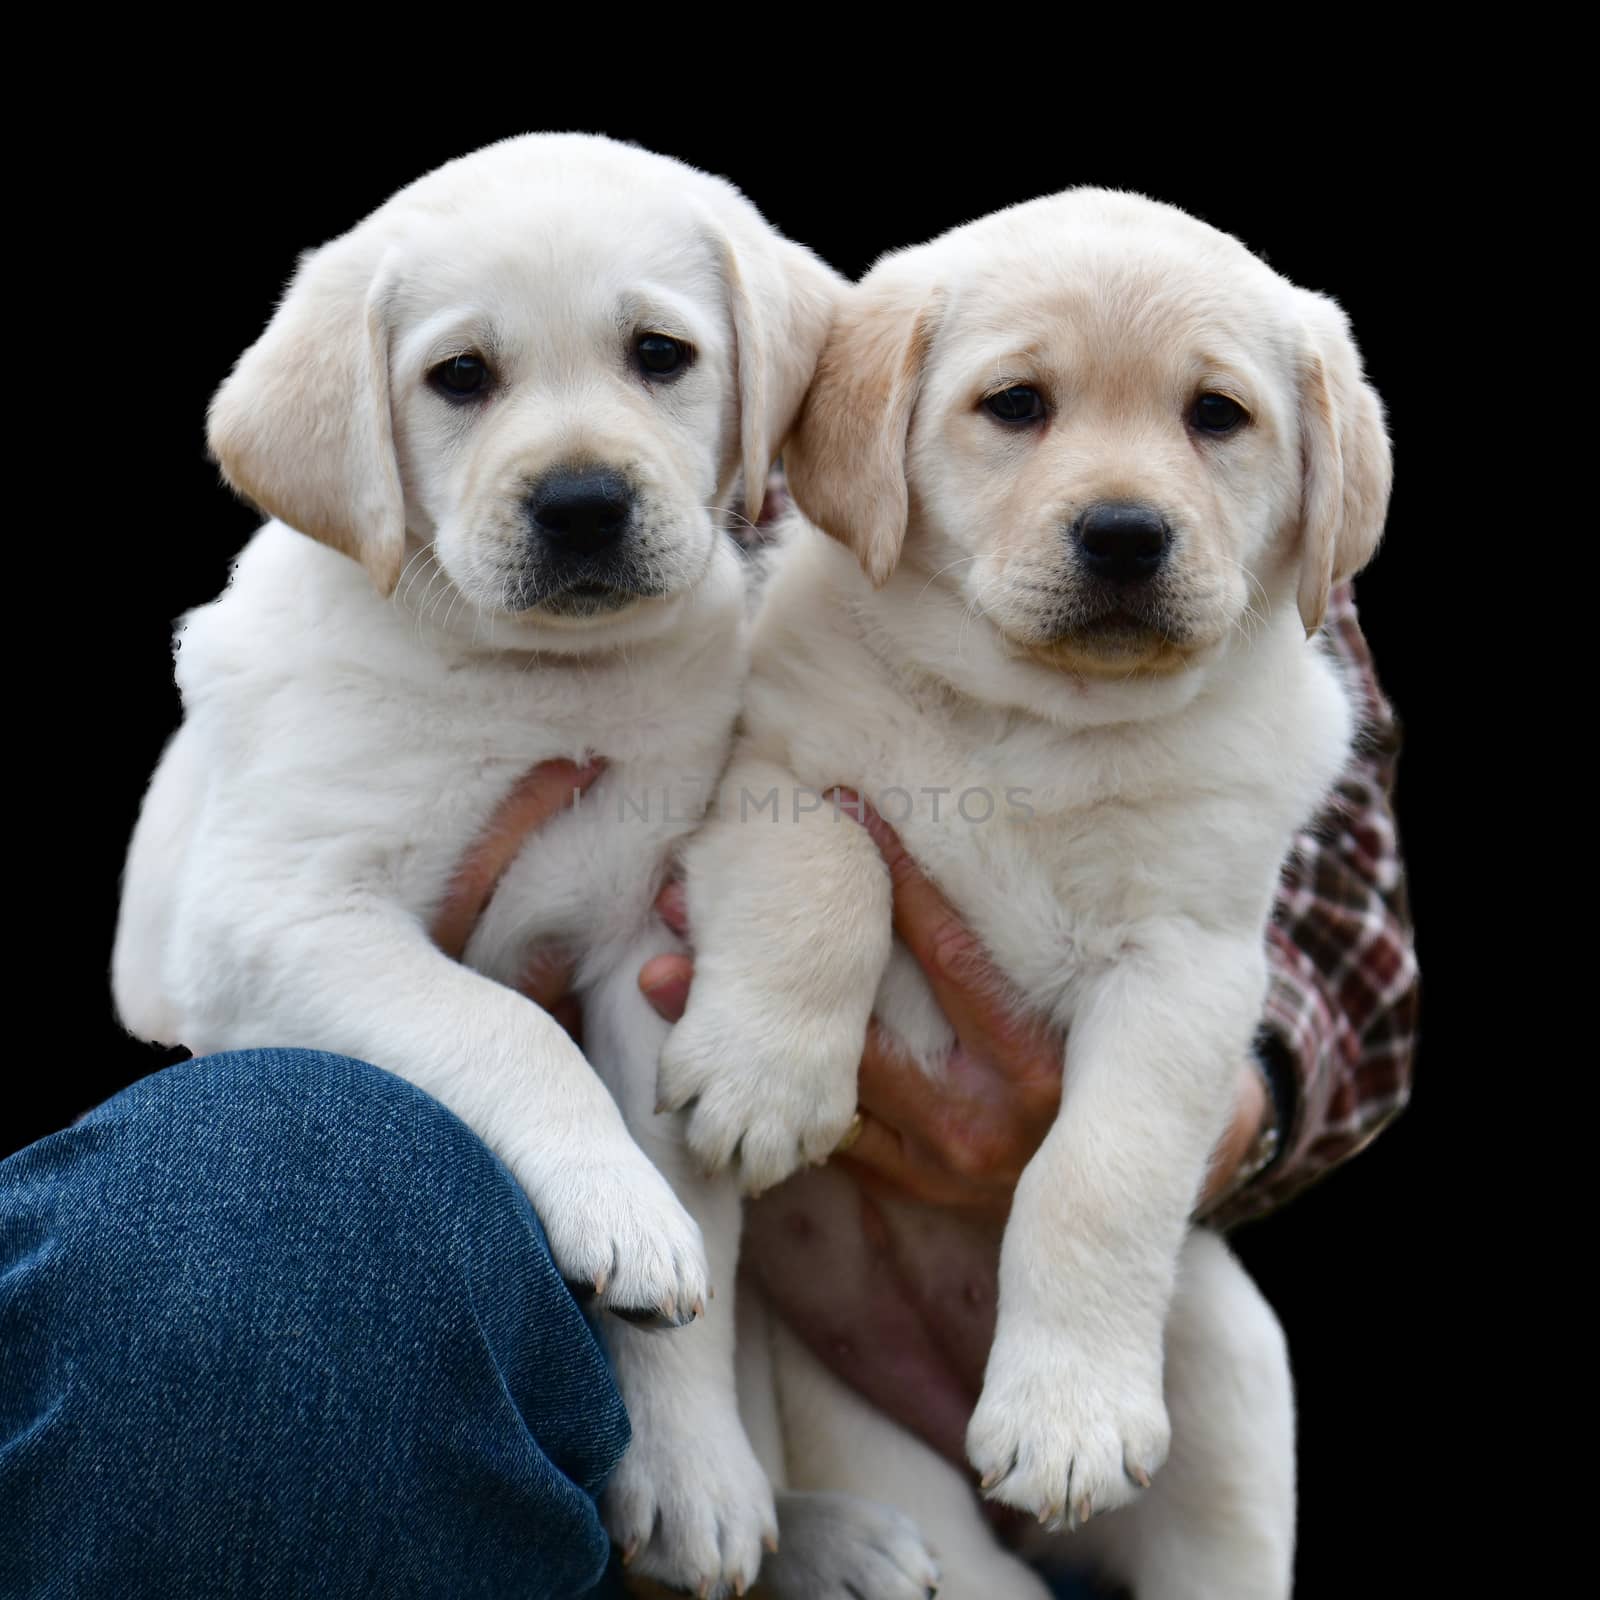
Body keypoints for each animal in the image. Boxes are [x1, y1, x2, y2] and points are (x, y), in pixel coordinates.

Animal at [662, 190, 1388, 1600]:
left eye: (1215, 414)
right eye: (1014, 405)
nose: (1124, 533)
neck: (1043, 725)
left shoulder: (1188, 963)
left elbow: (1098, 1172)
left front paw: (1067, 1417)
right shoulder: (763, 780)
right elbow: (829, 873)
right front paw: (764, 1080)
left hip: (1224, 1367)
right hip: (868, 1443)